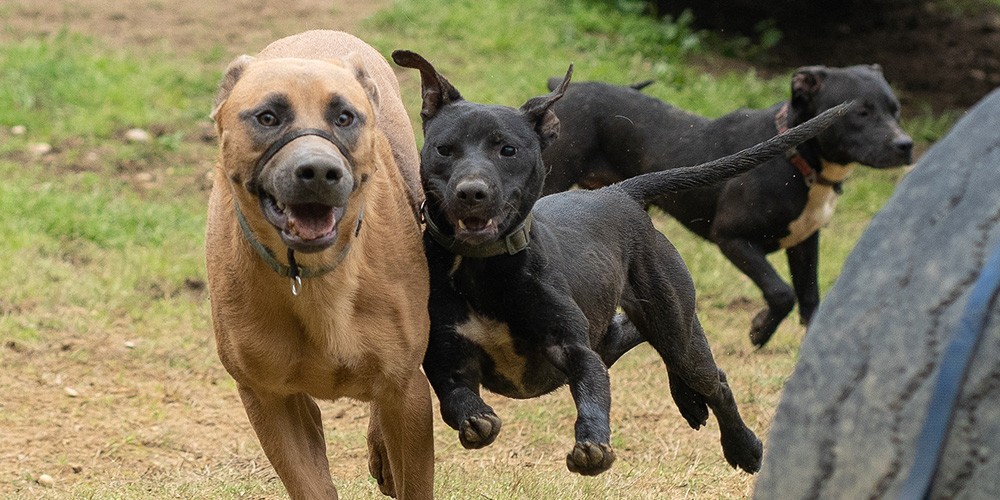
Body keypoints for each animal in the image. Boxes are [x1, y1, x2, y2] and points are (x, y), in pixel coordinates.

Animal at [205, 29, 432, 498]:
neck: (313, 276)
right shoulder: (270, 400)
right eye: (268, 117)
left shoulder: (407, 391)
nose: (319, 171)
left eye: (344, 117)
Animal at [394, 50, 848, 476]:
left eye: (508, 149)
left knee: (711, 377)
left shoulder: (576, 349)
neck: (484, 270)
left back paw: (743, 446)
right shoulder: (446, 357)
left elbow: (593, 395)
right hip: (623, 328)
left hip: (672, 323)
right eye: (444, 149)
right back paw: (689, 403)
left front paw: (592, 447)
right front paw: (476, 419)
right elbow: (455, 397)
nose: (471, 192)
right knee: (634, 331)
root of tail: (621, 192)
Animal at [544, 65, 912, 348]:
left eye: (896, 109)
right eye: (861, 112)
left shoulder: (805, 242)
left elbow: (809, 299)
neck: (797, 160)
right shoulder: (733, 238)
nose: (906, 145)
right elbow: (781, 292)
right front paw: (760, 331)